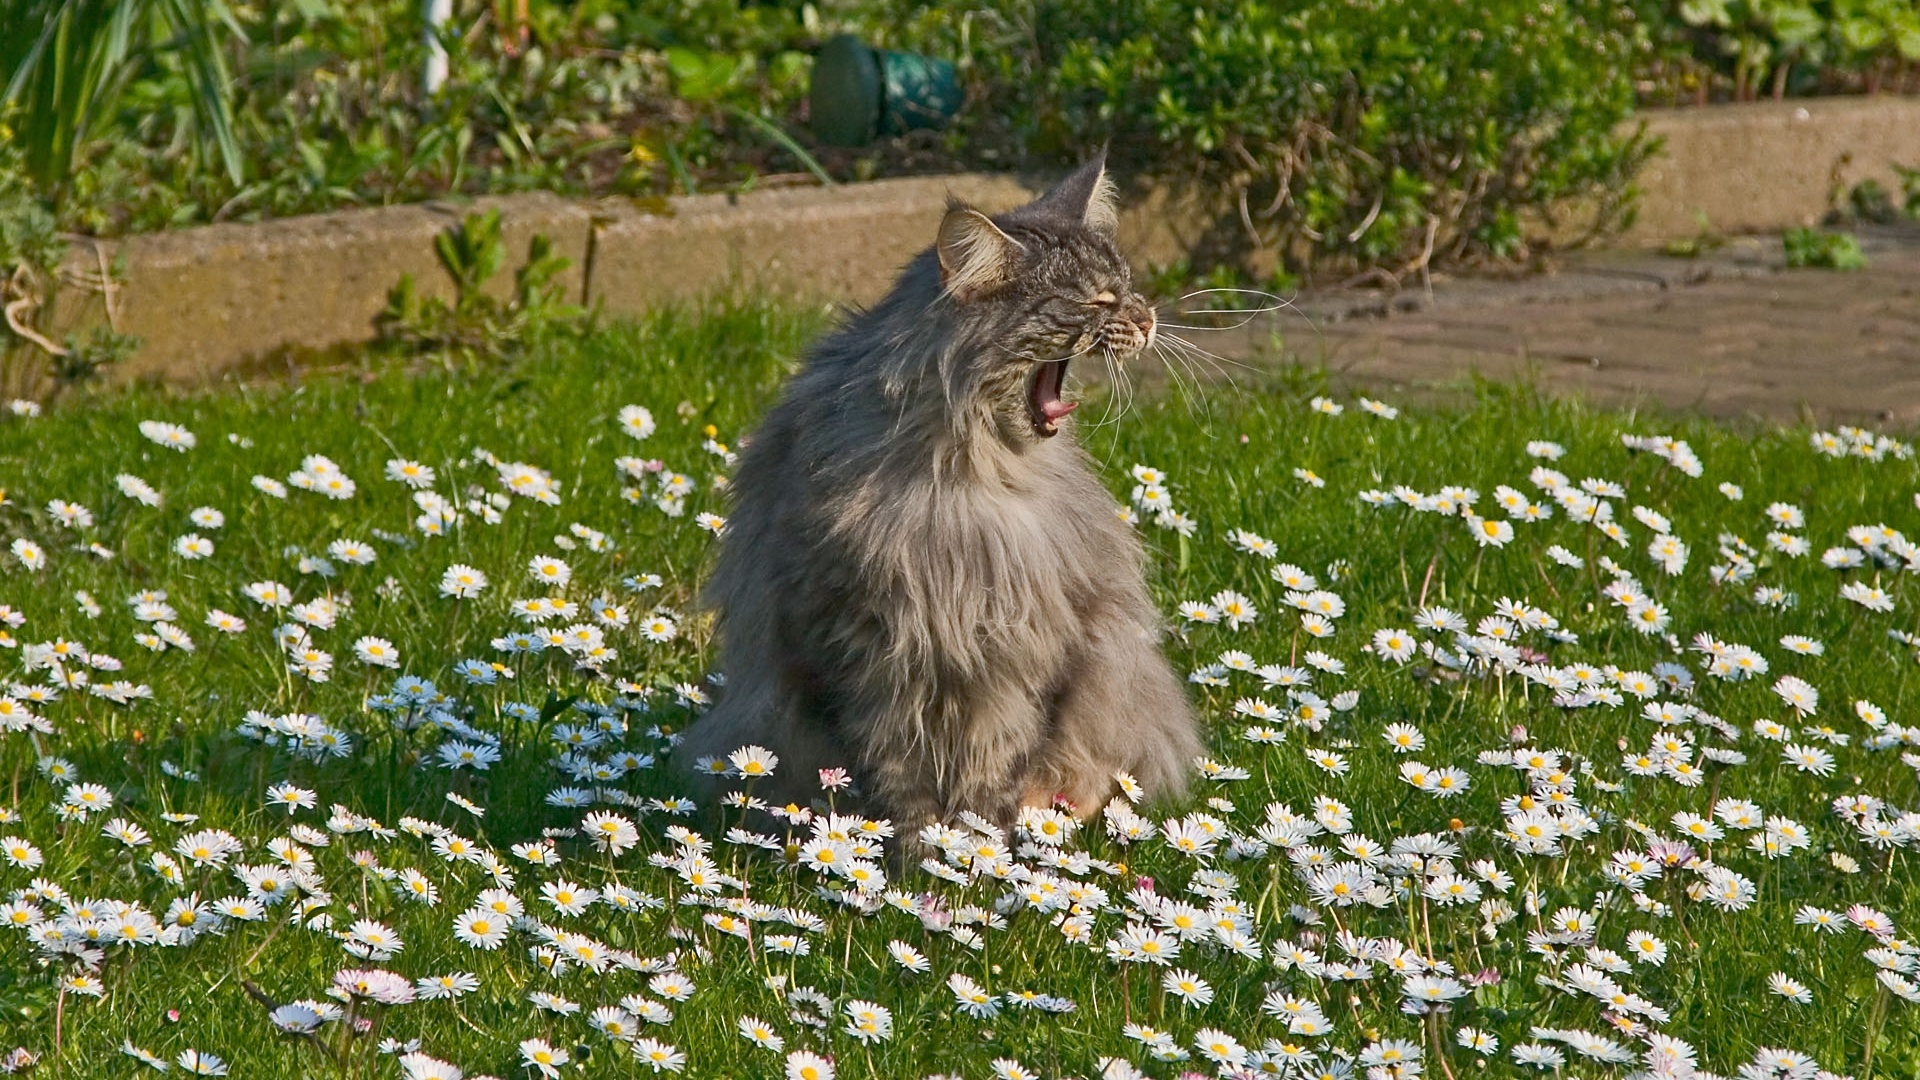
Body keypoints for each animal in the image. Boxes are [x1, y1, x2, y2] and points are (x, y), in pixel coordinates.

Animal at [679, 155, 1198, 822]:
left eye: (1131, 287)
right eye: (1100, 299)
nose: (1149, 317)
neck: (956, 485)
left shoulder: (1022, 638)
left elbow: (1001, 755)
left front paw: (981, 839)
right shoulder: (860, 637)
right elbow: (893, 767)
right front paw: (915, 840)